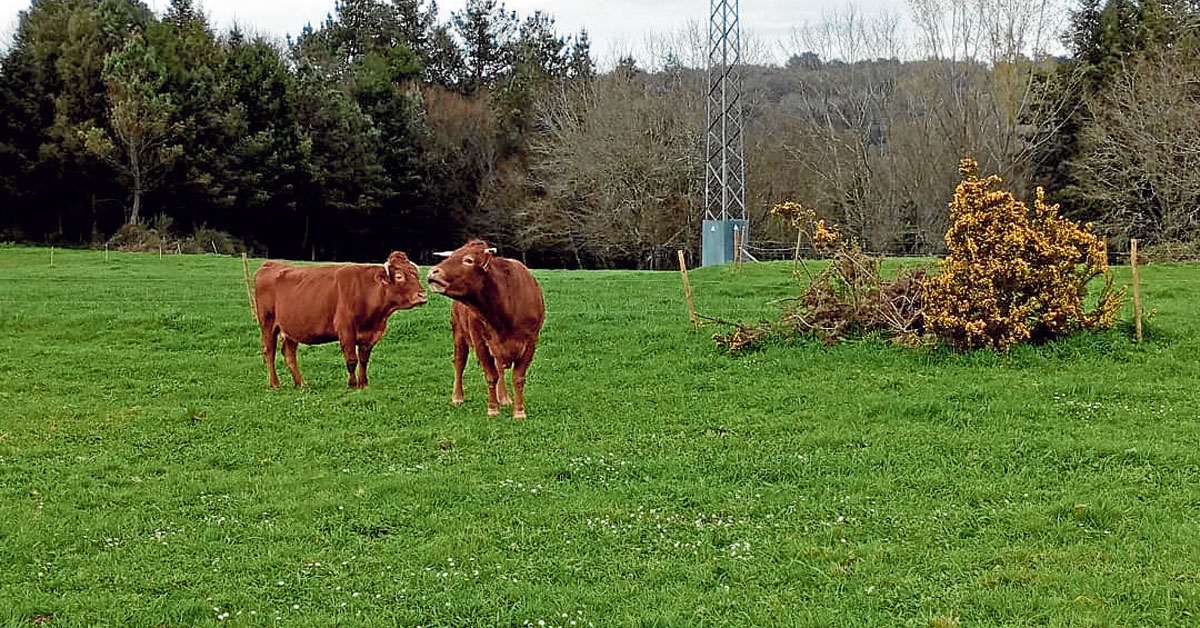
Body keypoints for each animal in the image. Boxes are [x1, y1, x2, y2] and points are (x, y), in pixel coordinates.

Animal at [253, 250, 427, 389]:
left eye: (417, 275)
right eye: (399, 276)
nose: (422, 295)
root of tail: (271, 264)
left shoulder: (370, 334)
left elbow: (364, 360)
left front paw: (364, 383)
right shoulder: (346, 330)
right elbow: (351, 360)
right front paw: (352, 384)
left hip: (290, 329)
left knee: (289, 354)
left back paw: (301, 383)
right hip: (268, 323)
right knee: (269, 351)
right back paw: (275, 384)